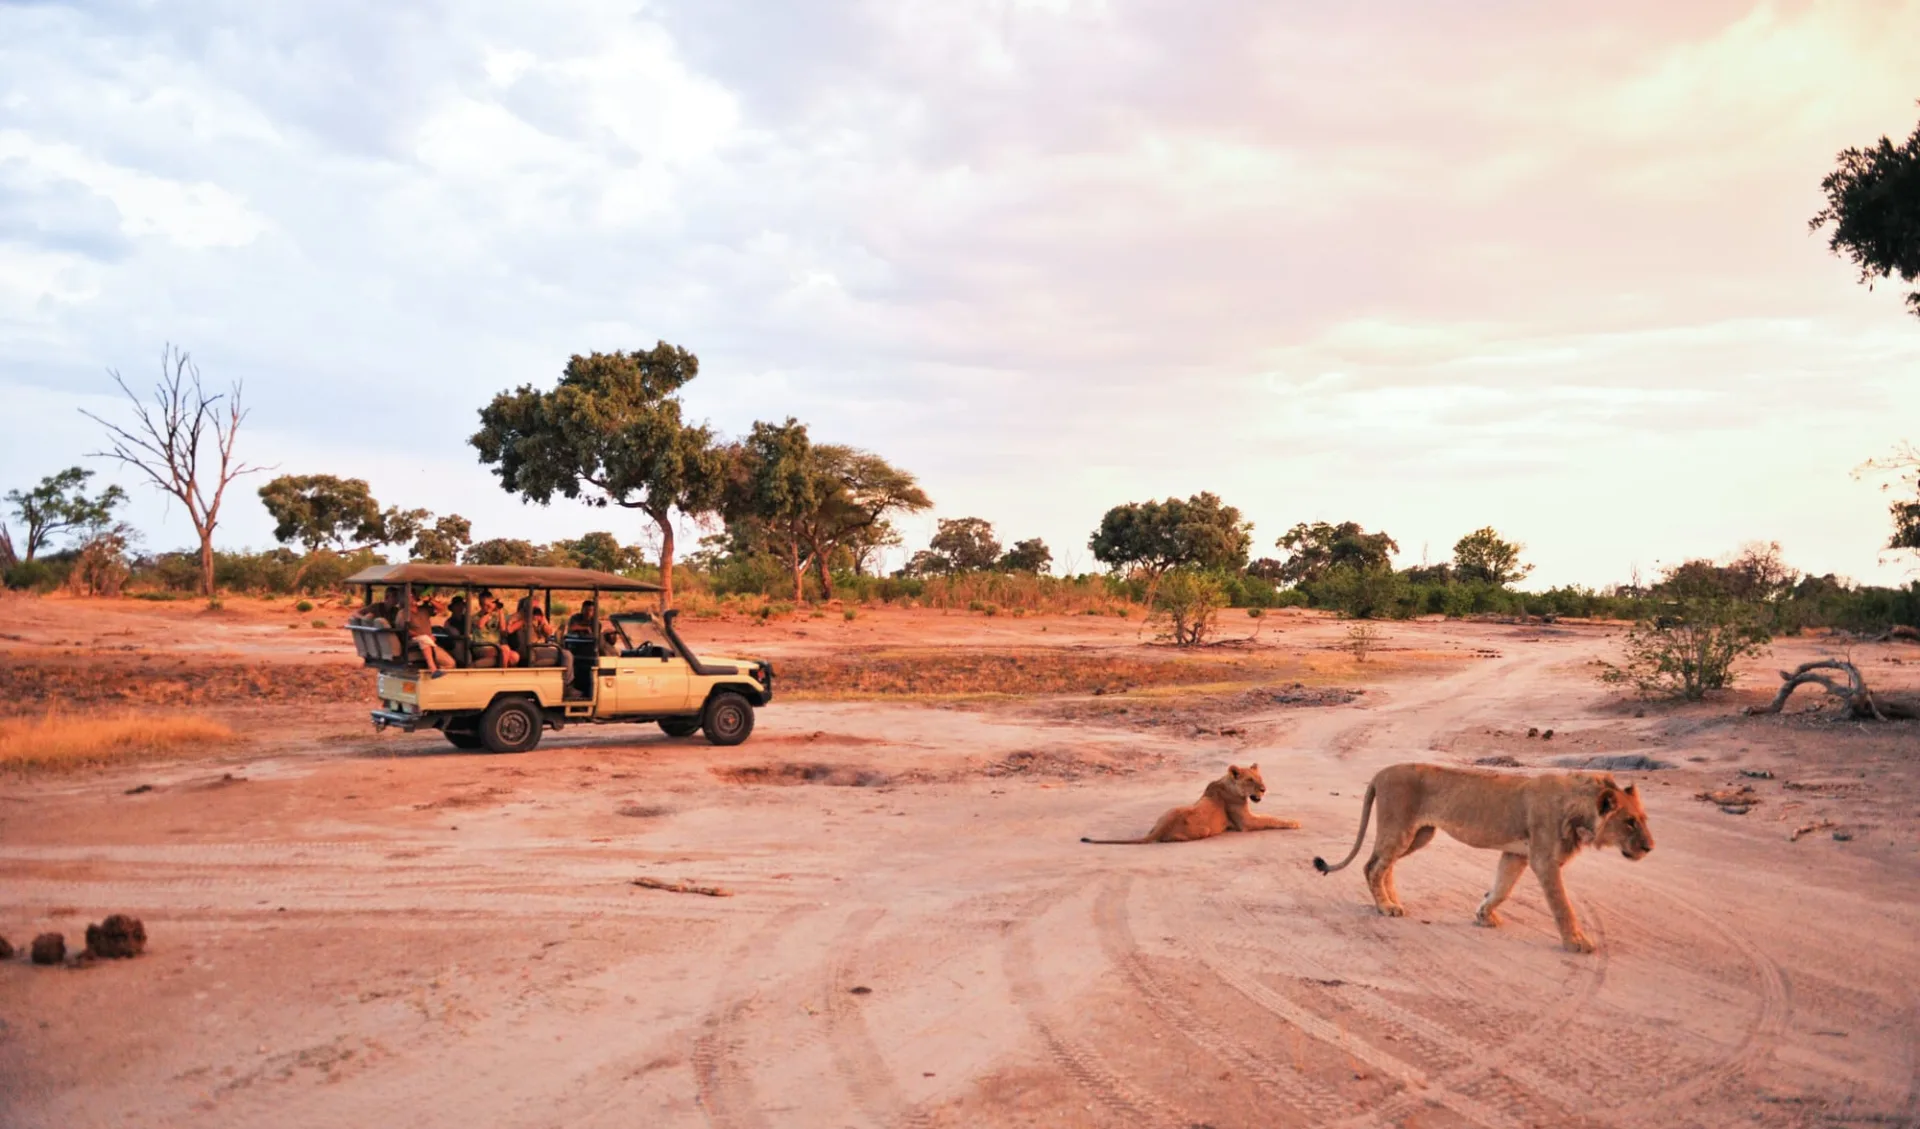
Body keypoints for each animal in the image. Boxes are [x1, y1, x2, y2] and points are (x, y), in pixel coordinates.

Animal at [1082, 764, 1305, 840]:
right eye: (1250, 780)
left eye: (1260, 778)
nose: (1264, 789)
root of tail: (1161, 829)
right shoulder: (1246, 822)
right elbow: (1271, 818)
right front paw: (1294, 822)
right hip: (1203, 830)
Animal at [1313, 760, 1658, 952]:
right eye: (1629, 822)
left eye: (1643, 819)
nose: (1650, 848)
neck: (1579, 809)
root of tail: (1380, 773)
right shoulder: (1544, 861)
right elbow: (1563, 906)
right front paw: (1577, 942)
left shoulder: (1516, 854)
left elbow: (1502, 888)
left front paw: (1484, 915)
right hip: (1399, 829)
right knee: (1372, 865)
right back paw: (1385, 907)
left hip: (1419, 835)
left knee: (1383, 866)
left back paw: (1392, 902)